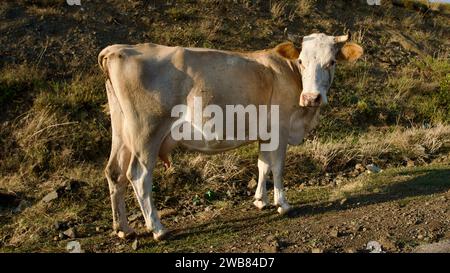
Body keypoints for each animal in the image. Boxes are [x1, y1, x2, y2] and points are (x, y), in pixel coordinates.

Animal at [97, 33, 362, 239]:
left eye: (331, 62)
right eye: (301, 60)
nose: (311, 98)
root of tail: (118, 49)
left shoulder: (265, 132)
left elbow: (262, 164)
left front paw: (260, 200)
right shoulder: (280, 128)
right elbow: (277, 166)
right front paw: (283, 204)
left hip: (122, 131)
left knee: (114, 172)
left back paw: (123, 229)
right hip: (146, 133)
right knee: (138, 176)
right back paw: (158, 228)